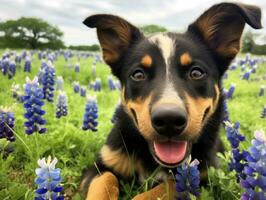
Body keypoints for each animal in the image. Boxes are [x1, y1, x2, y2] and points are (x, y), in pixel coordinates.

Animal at [80, 1, 262, 200]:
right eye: (138, 74)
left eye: (196, 73)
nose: (169, 120)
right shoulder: (100, 166)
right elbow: (104, 181)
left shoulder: (200, 176)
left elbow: (164, 187)